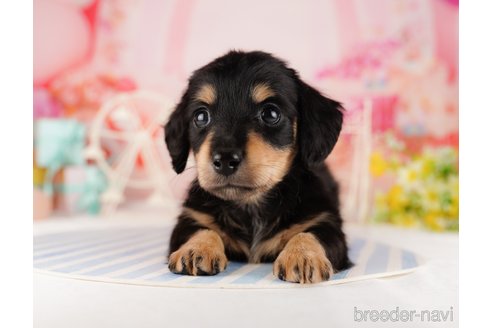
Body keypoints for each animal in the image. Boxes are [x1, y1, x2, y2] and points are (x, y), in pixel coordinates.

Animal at [164, 50, 350, 284]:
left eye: (271, 114)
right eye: (201, 116)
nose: (225, 160)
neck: (251, 207)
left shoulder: (326, 221)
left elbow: (311, 234)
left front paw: (303, 256)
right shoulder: (191, 218)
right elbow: (201, 230)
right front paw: (196, 249)